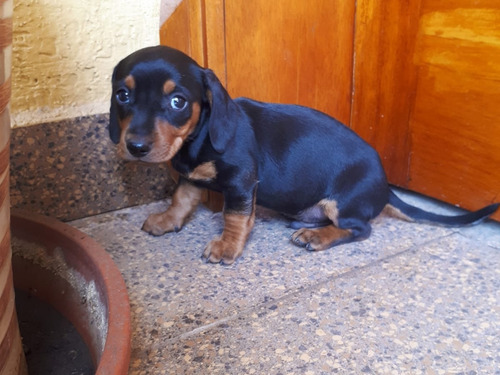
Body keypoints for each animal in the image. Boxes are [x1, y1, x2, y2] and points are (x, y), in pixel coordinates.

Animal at [108, 45, 496, 266]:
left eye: (178, 101)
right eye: (122, 95)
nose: (136, 147)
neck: (196, 138)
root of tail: (386, 185)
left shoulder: (241, 183)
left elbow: (235, 218)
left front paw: (227, 248)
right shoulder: (190, 176)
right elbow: (181, 199)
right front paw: (166, 220)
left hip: (343, 202)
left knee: (360, 229)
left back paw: (317, 237)